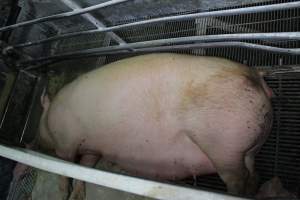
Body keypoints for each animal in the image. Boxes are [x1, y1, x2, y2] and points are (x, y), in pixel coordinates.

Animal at [38, 52, 274, 198]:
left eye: (39, 121)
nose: (34, 143)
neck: (50, 117)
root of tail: (255, 75)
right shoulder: (93, 148)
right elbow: (84, 168)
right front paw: (76, 195)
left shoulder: (66, 141)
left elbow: (65, 167)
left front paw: (62, 193)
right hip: (249, 148)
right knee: (253, 175)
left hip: (223, 145)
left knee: (237, 179)